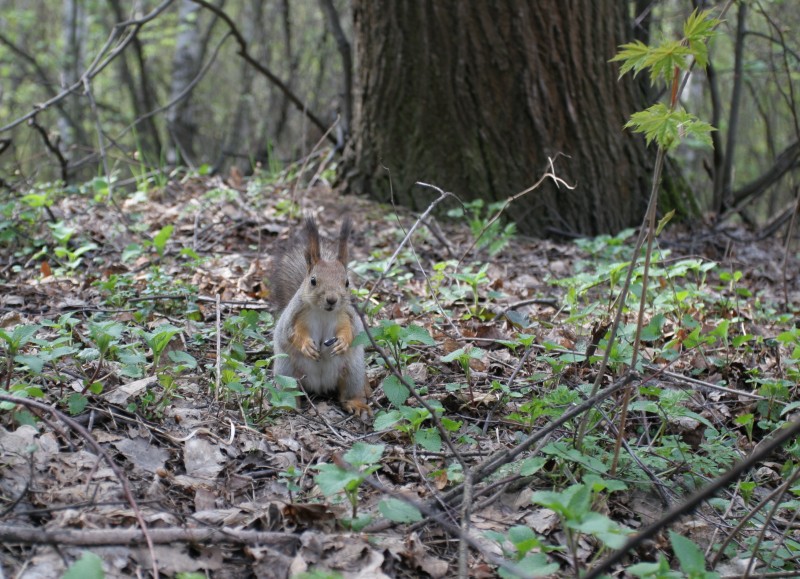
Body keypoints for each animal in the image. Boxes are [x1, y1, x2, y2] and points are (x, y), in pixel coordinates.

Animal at [268, 215, 368, 414]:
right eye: (313, 281)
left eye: (347, 283)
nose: (332, 300)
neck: (323, 313)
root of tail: (320, 387)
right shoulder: (294, 316)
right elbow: (290, 334)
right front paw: (306, 345)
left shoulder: (346, 316)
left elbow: (351, 331)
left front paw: (343, 342)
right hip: (286, 371)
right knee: (290, 390)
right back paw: (289, 405)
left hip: (354, 371)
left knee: (348, 392)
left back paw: (356, 403)